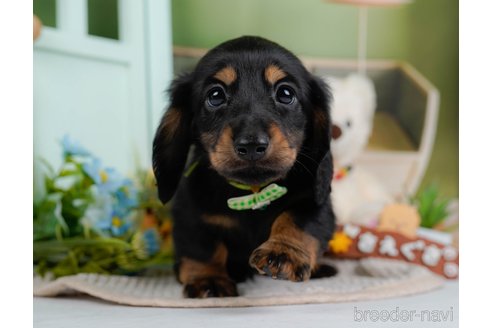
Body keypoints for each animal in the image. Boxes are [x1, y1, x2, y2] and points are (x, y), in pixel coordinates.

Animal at [154, 36, 336, 298]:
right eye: (215, 95)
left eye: (286, 93)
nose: (251, 144)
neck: (253, 192)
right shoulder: (190, 213)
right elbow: (202, 246)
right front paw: (208, 279)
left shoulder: (314, 201)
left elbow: (297, 220)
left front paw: (283, 252)